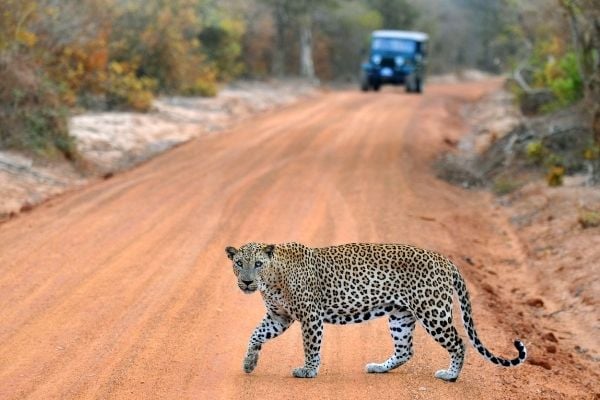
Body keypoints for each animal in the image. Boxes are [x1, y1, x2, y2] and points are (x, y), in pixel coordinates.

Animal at [224, 241, 524, 382]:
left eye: (258, 263)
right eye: (239, 263)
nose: (247, 282)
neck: (273, 279)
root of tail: (445, 260)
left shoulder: (310, 316)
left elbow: (311, 346)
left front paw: (308, 371)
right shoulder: (279, 317)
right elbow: (255, 335)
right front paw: (249, 363)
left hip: (433, 311)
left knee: (459, 342)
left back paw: (450, 375)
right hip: (400, 315)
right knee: (405, 350)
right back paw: (379, 367)